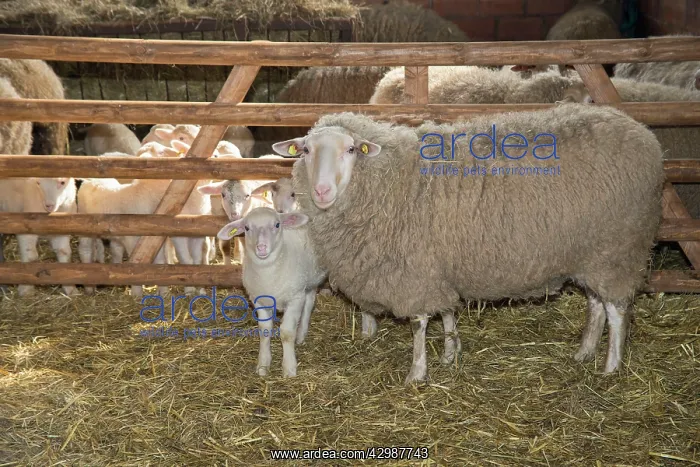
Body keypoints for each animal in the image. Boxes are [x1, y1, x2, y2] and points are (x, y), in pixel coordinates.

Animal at [216, 207, 327, 377]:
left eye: (277, 224)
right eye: (246, 228)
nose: (261, 247)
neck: (268, 273)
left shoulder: (295, 299)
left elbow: (287, 332)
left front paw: (289, 368)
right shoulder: (258, 300)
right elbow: (264, 331)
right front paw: (263, 365)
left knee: (308, 305)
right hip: (308, 279)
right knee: (309, 299)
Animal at [273, 106, 664, 383]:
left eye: (352, 149)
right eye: (305, 150)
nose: (322, 191)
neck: (389, 179)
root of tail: (644, 135)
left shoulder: (415, 271)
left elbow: (419, 323)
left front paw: (417, 373)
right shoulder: (439, 266)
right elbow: (447, 311)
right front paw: (450, 353)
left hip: (617, 249)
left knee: (617, 310)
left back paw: (611, 366)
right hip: (592, 252)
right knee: (597, 303)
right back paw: (584, 351)